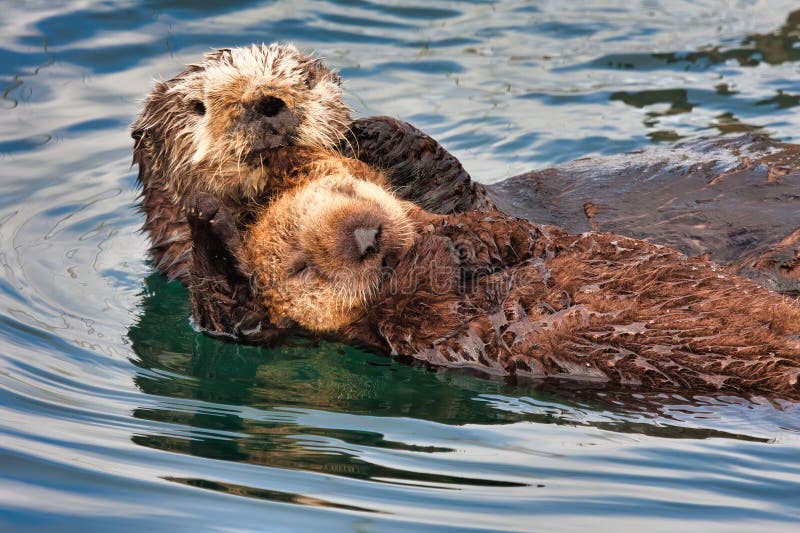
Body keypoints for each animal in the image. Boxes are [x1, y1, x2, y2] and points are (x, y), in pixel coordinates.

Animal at [208, 172, 800, 396]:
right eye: (300, 267)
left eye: (347, 189)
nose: (366, 235)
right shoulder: (414, 331)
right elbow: (425, 305)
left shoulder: (528, 237)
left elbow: (513, 234)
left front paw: (462, 237)